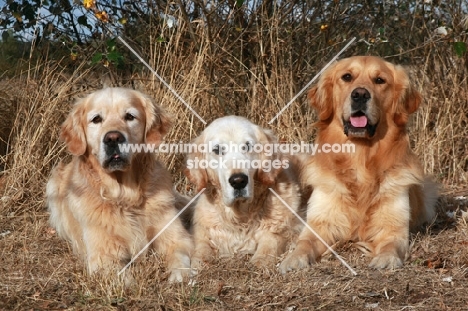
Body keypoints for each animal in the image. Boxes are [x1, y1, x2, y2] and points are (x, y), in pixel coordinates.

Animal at [46, 88, 193, 282]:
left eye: (130, 116)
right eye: (96, 119)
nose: (113, 138)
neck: (125, 197)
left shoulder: (177, 238)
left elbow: (180, 256)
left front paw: (180, 276)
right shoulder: (103, 256)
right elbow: (124, 279)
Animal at [185, 117, 306, 268]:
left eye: (247, 146)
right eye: (217, 149)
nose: (238, 181)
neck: (240, 217)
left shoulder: (284, 229)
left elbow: (270, 243)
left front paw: (259, 261)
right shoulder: (203, 228)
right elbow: (201, 248)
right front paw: (199, 263)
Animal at [280, 56, 436, 272]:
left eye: (380, 80)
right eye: (347, 77)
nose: (360, 94)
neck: (360, 159)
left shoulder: (393, 226)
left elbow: (391, 244)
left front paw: (385, 258)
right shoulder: (320, 223)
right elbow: (304, 243)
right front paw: (293, 259)